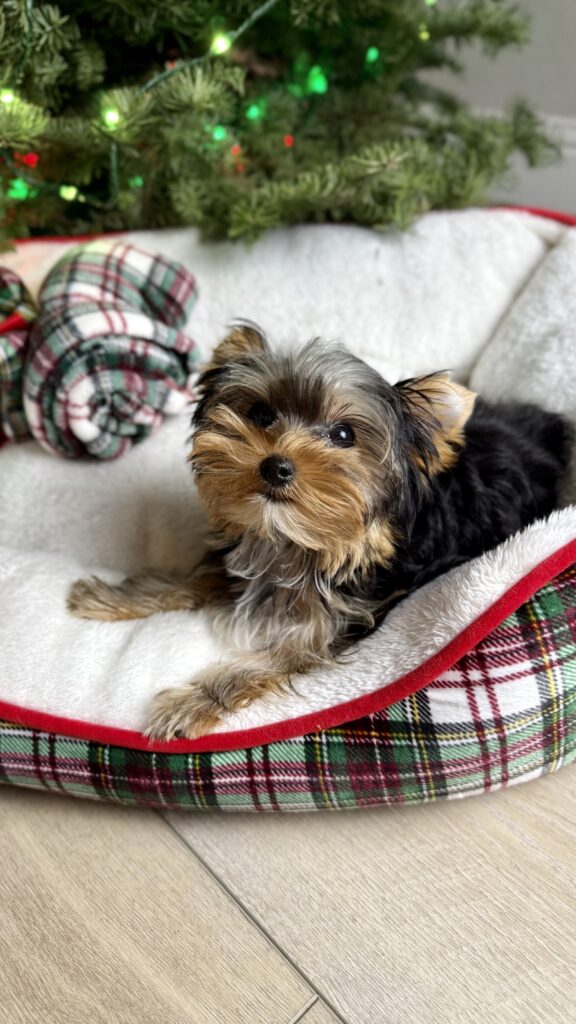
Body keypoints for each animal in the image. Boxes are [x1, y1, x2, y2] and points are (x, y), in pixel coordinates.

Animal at [68, 323, 569, 741]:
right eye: (261, 414)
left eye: (344, 435)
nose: (276, 465)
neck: (294, 541)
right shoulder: (247, 559)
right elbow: (192, 580)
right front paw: (111, 597)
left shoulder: (337, 621)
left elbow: (268, 660)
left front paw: (191, 704)